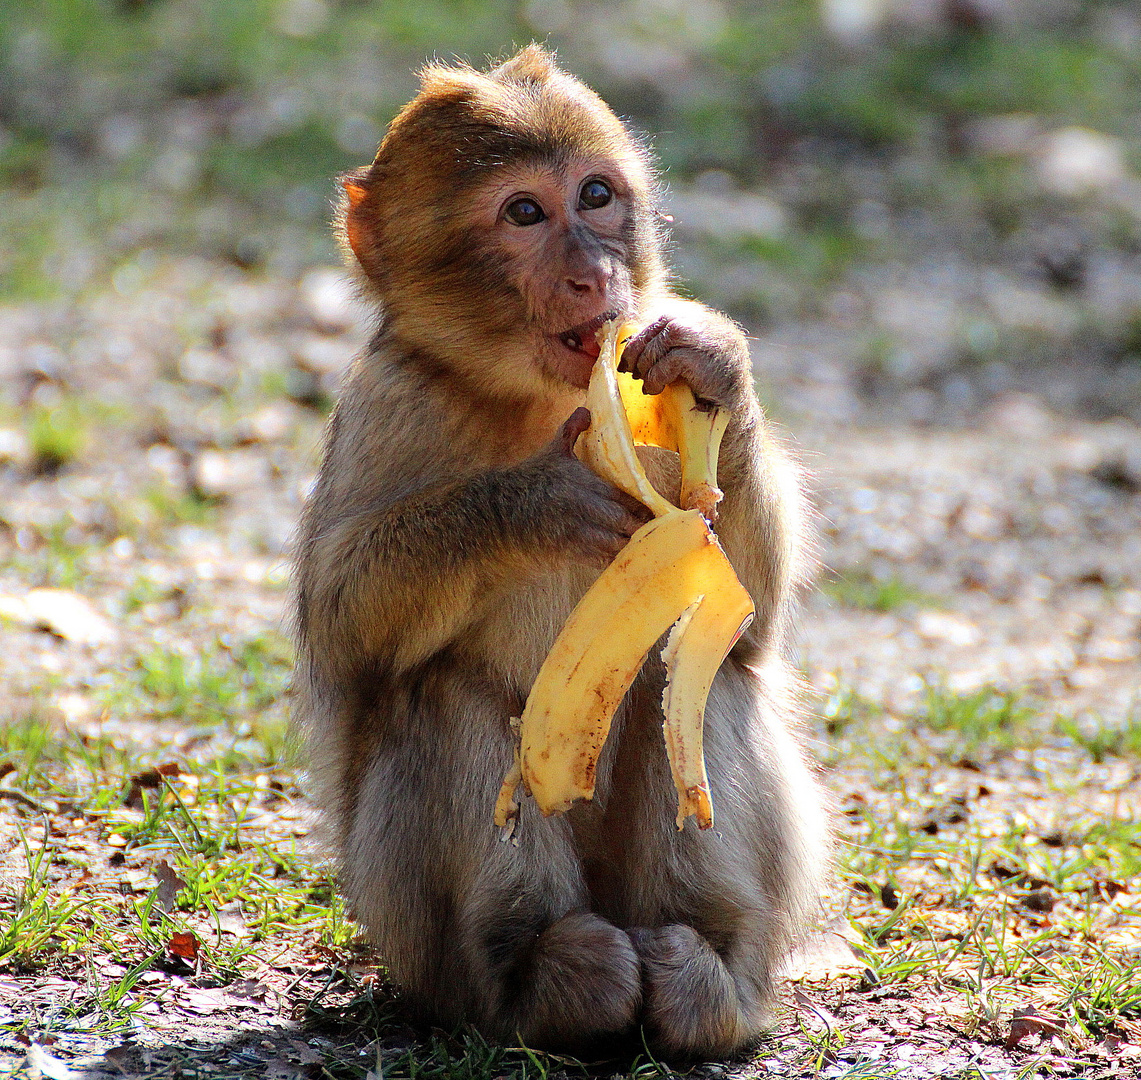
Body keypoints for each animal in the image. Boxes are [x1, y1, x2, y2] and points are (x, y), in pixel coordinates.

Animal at [292, 46, 830, 1058]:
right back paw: (540, 976)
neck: (537, 395)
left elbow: (753, 624)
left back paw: (705, 975)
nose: (593, 273)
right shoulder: (391, 401)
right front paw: (531, 504)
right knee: (441, 692)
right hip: (405, 928)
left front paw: (717, 371)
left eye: (595, 195)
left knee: (700, 681)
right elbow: (341, 629)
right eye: (524, 214)